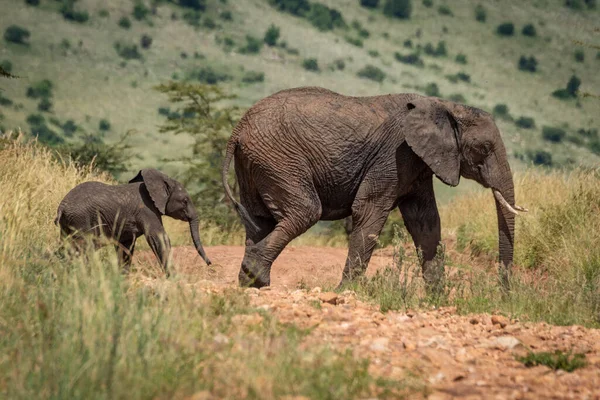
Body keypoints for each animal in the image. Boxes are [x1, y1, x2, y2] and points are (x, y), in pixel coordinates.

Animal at [54, 167, 213, 274]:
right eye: (185, 201)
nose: (210, 264)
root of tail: (62, 206)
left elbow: (126, 245)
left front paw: (122, 277)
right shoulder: (147, 210)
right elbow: (160, 239)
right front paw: (174, 278)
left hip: (68, 224)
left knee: (66, 246)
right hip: (82, 220)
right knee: (83, 247)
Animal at [221, 86, 524, 290]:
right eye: (484, 148)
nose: (504, 294)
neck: (444, 105)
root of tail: (238, 129)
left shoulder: (417, 163)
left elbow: (426, 223)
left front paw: (438, 300)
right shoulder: (395, 155)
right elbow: (369, 212)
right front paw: (346, 293)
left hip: (256, 162)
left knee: (259, 220)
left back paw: (251, 283)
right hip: (278, 158)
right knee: (304, 212)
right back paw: (255, 275)